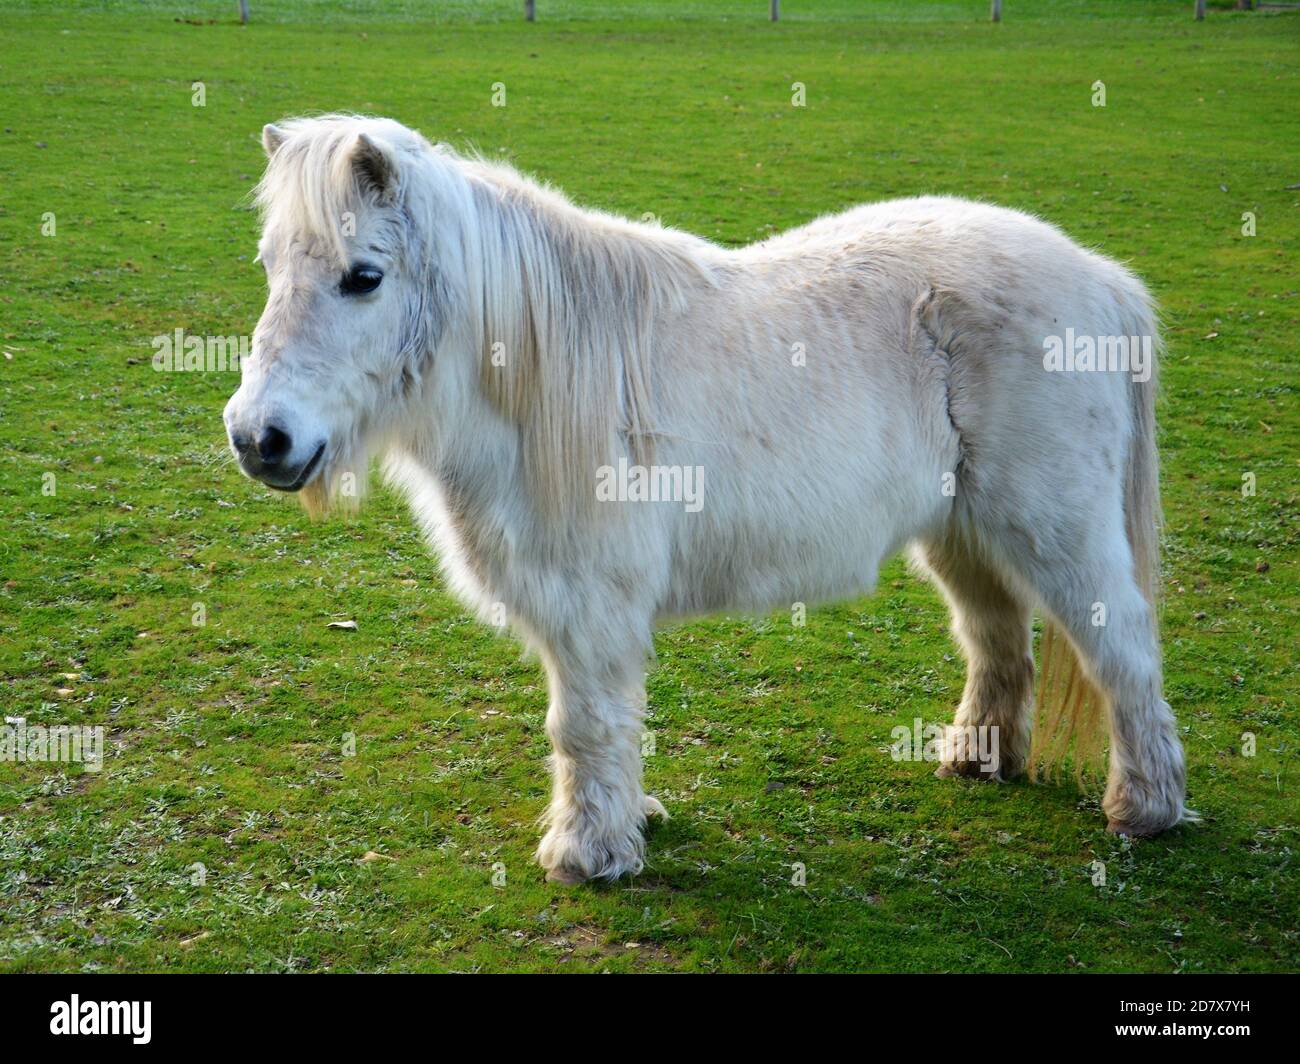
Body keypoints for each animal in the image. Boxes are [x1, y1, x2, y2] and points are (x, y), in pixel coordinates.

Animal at [224, 114, 1194, 884]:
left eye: (363, 276)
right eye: (269, 265)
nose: (258, 438)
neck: (542, 375)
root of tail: (1102, 279)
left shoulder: (591, 608)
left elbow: (584, 726)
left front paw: (588, 855)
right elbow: (608, 725)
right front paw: (627, 825)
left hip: (1057, 531)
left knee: (1121, 652)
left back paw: (1145, 808)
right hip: (965, 534)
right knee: (996, 640)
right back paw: (980, 759)